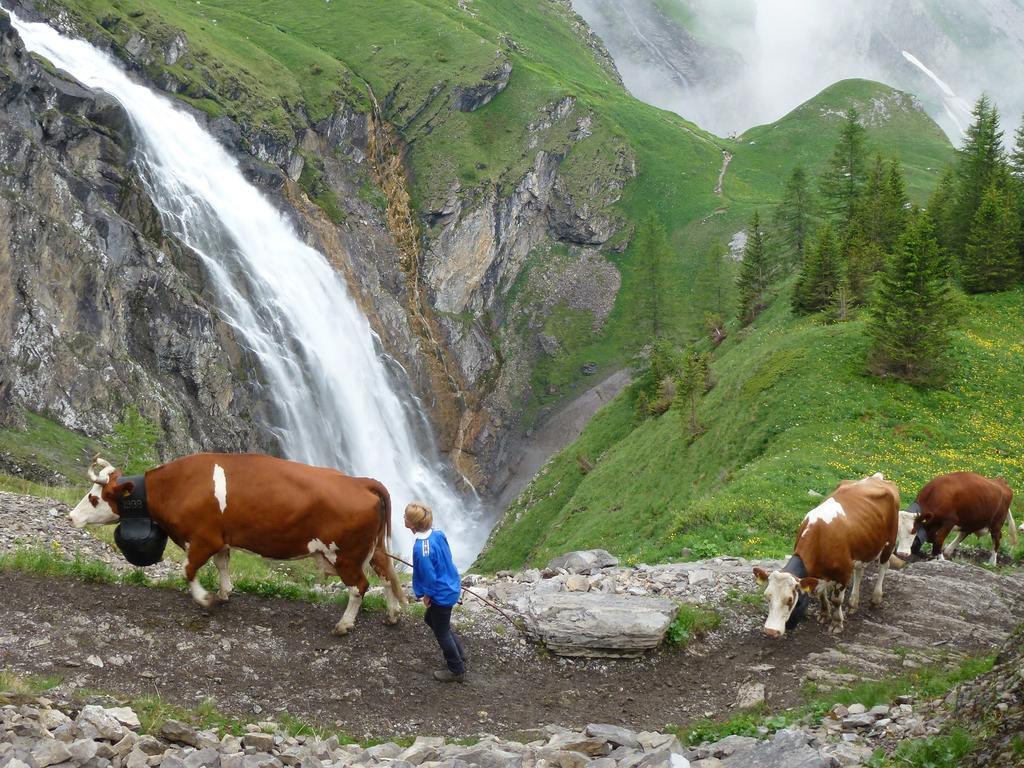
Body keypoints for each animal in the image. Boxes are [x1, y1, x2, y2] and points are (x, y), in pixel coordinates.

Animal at [69, 454, 407, 634]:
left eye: (94, 497)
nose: (72, 516)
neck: (175, 487)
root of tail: (361, 481)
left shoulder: (203, 538)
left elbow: (188, 570)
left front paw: (205, 599)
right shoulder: (221, 539)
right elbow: (222, 564)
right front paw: (224, 592)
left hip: (345, 554)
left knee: (359, 587)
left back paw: (344, 625)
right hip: (373, 549)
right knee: (386, 576)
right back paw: (392, 615)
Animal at [749, 475, 901, 638]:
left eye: (790, 600)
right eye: (767, 596)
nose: (771, 631)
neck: (820, 537)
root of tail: (876, 477)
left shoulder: (844, 572)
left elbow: (836, 600)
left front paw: (836, 623)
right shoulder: (818, 574)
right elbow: (820, 593)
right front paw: (824, 614)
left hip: (889, 543)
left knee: (883, 566)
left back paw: (875, 598)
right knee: (860, 571)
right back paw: (853, 603)